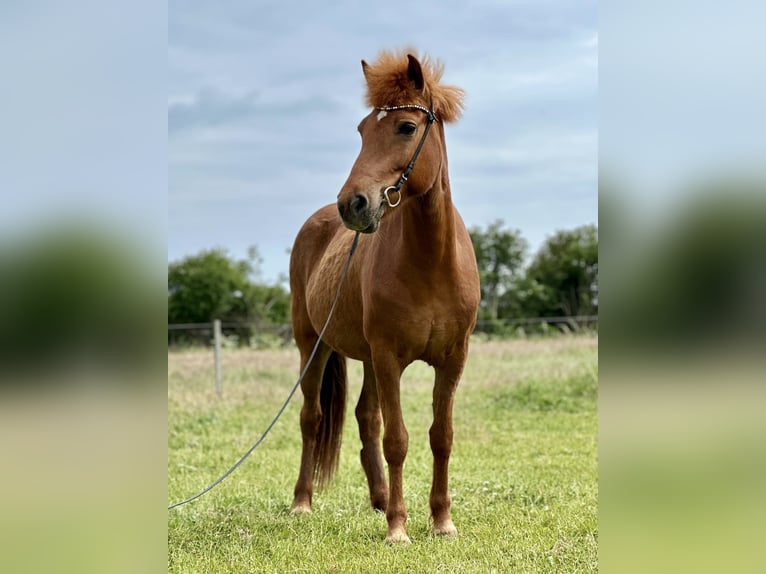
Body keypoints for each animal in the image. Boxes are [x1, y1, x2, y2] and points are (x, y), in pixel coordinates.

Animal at [288, 50, 480, 544]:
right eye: (361, 130)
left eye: (406, 127)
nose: (352, 204)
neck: (431, 263)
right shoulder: (390, 356)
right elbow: (398, 440)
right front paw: (398, 528)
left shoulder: (452, 358)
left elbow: (440, 436)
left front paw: (442, 521)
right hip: (313, 346)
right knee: (312, 419)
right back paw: (302, 503)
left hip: (369, 359)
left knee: (365, 418)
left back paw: (378, 498)